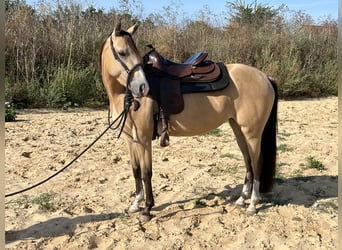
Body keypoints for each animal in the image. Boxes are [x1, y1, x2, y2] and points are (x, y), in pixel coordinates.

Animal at [99, 21, 278, 221]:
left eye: (135, 52)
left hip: (252, 132)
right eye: (122, 52)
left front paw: (147, 209)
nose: (143, 88)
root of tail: (265, 77)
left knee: (257, 162)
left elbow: (146, 173)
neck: (124, 94)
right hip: (238, 129)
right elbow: (136, 170)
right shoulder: (131, 139)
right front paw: (135, 204)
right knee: (247, 160)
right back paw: (242, 199)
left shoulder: (144, 140)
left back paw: (253, 204)